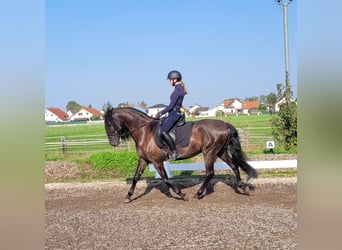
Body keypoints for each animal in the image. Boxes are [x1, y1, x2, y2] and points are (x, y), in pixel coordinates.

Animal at [104, 106, 256, 202]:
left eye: (109, 124)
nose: (113, 143)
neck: (144, 131)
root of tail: (224, 124)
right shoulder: (144, 159)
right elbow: (136, 178)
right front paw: (128, 196)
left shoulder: (157, 161)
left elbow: (165, 179)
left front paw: (181, 194)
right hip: (220, 151)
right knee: (234, 166)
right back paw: (242, 187)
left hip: (209, 152)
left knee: (210, 173)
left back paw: (198, 194)